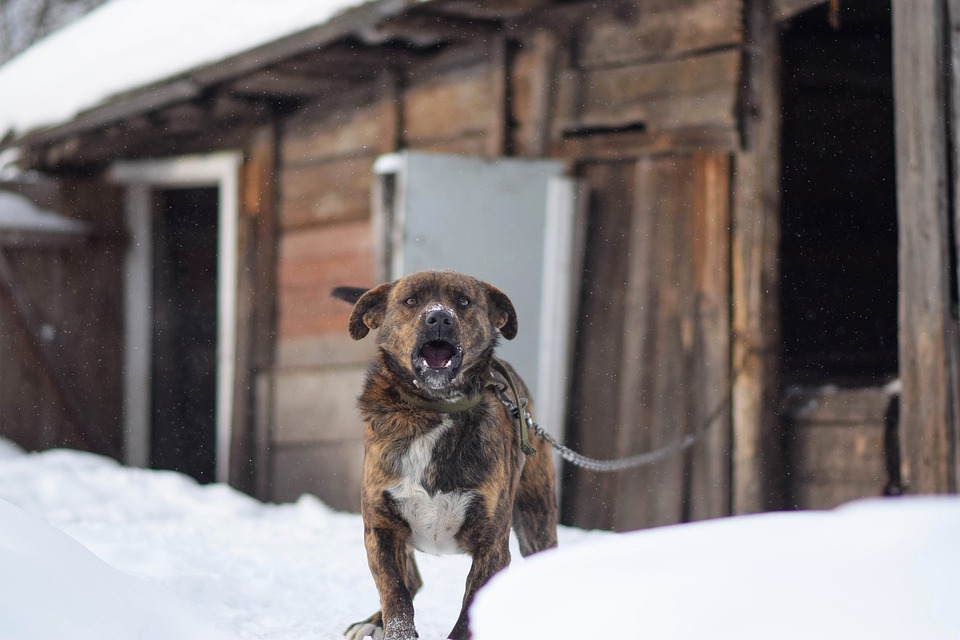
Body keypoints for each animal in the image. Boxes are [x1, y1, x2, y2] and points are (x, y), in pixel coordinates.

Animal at [336, 270, 560, 640]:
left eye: (464, 301)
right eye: (411, 300)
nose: (439, 317)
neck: (434, 410)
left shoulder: (492, 545)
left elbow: (469, 612)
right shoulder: (381, 529)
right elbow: (395, 592)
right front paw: (394, 628)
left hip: (536, 518)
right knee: (411, 580)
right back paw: (371, 623)